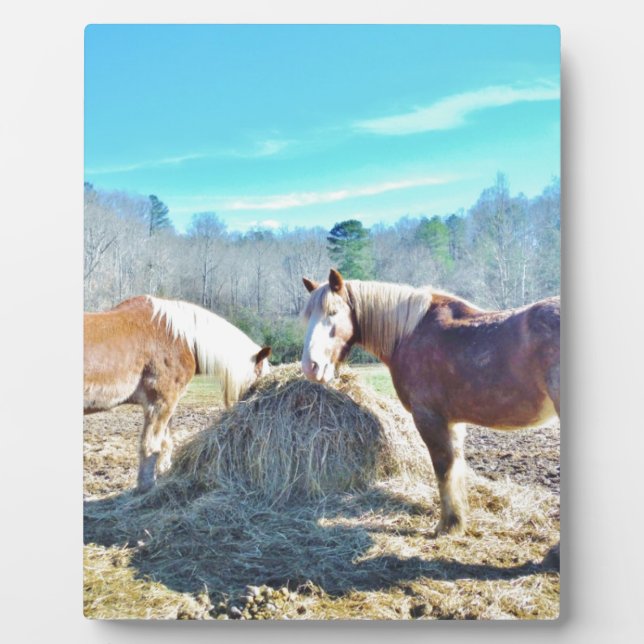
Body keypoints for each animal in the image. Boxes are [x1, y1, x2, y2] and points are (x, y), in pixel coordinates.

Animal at [84, 295, 271, 492]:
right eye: (259, 375)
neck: (179, 338)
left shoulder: (167, 404)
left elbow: (166, 441)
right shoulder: (161, 402)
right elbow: (151, 445)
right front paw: (147, 486)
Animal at [301, 269, 559, 536]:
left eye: (333, 312)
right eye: (308, 316)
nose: (311, 367)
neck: (410, 333)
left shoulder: (428, 418)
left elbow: (443, 468)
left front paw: (447, 525)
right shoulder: (453, 423)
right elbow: (456, 466)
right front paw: (458, 520)